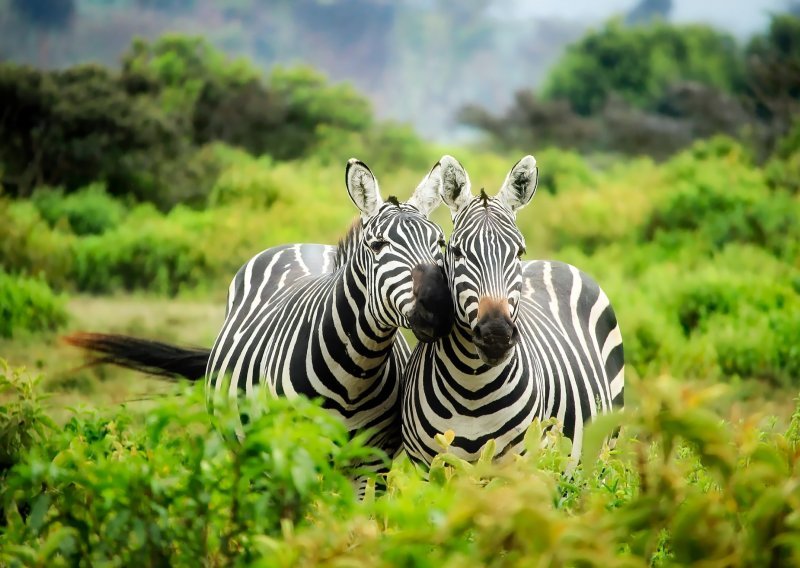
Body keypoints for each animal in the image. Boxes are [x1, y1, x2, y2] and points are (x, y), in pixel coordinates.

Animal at [67, 158, 456, 478]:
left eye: (440, 243)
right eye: (377, 246)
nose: (439, 307)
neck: (355, 373)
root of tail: (302, 245)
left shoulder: (372, 463)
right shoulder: (293, 454)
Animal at [400, 154, 624, 466]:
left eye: (519, 252)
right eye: (457, 252)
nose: (496, 335)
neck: (472, 388)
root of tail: (553, 262)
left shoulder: (520, 464)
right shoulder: (427, 466)